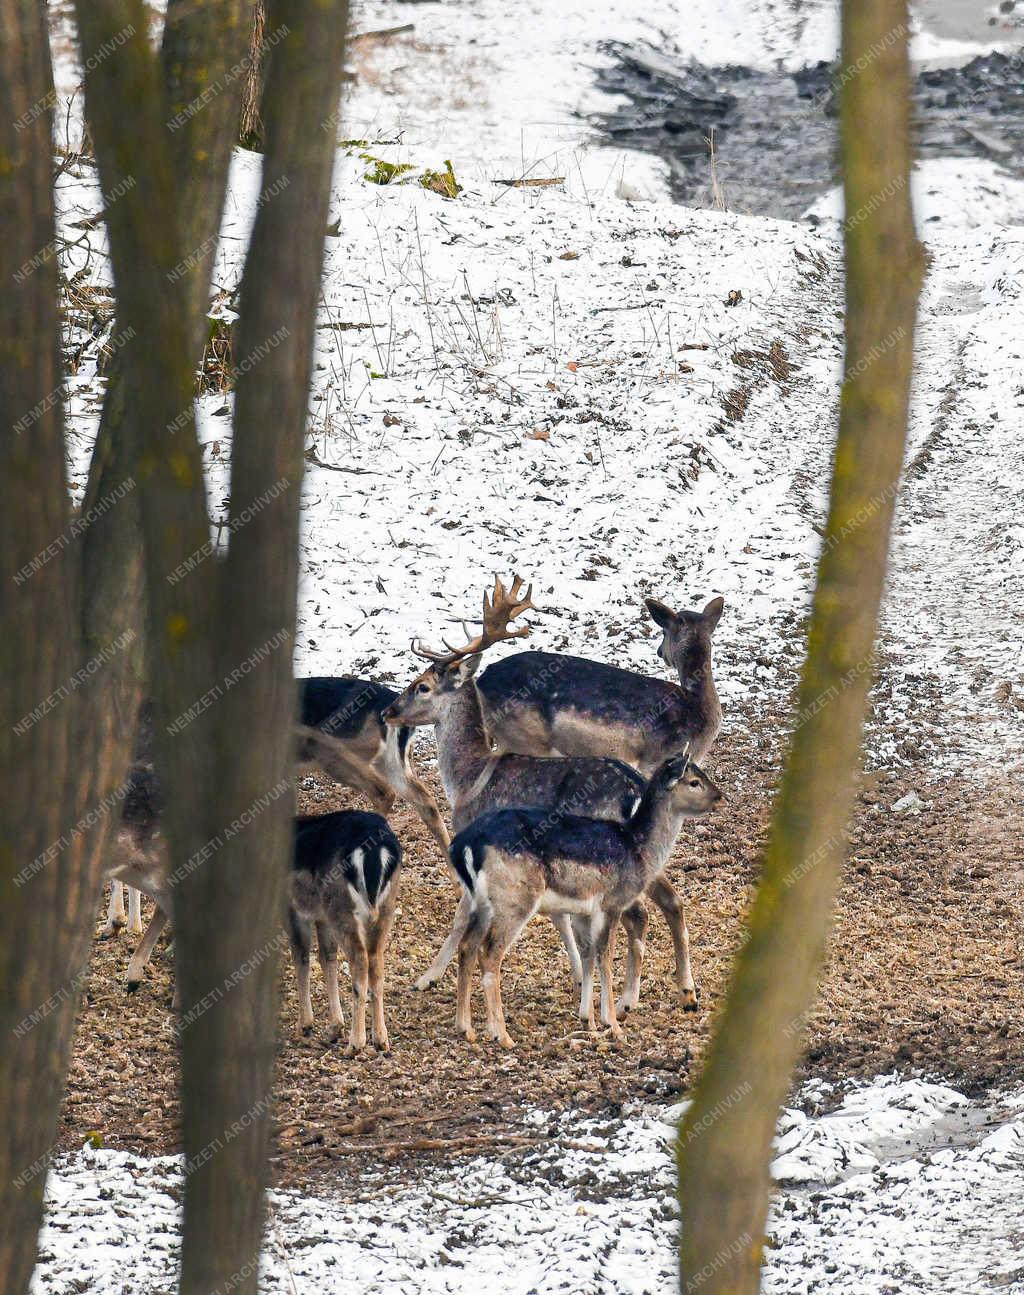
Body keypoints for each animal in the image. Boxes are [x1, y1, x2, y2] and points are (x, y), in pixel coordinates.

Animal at [289, 813, 401, 1056]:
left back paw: (355, 1044)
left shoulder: (293, 909)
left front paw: (304, 1025)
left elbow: (301, 955)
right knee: (376, 961)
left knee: (360, 960)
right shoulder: (321, 917)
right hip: (385, 908)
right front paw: (334, 1027)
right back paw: (381, 1039)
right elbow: (327, 957)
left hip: (341, 907)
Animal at [447, 756, 719, 1046]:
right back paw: (502, 1034)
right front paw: (612, 1024)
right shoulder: (611, 903)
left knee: (467, 945)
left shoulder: (584, 910)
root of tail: (462, 846)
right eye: (695, 782)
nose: (720, 797)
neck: (638, 846)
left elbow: (588, 954)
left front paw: (588, 1020)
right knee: (490, 953)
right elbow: (605, 955)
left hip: (480, 902)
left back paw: (465, 1028)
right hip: (514, 900)